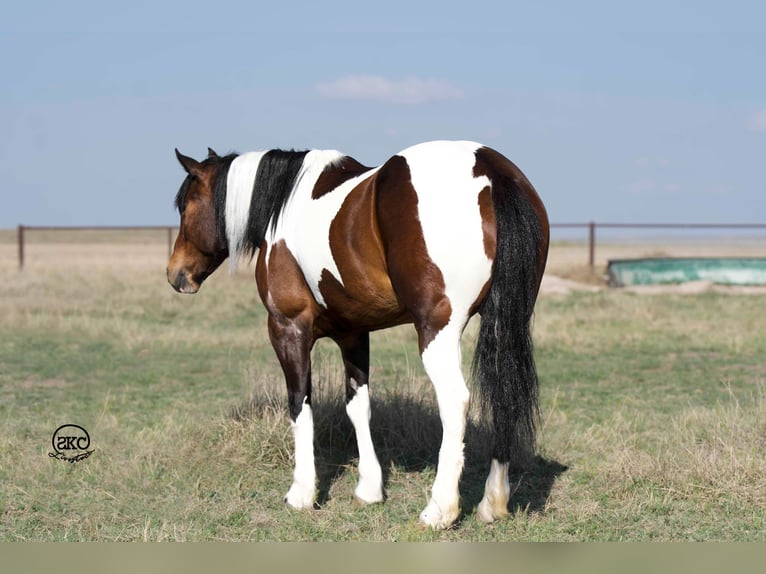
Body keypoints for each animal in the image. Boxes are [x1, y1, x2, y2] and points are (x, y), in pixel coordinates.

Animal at [170, 141, 552, 532]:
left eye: (186, 205)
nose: (177, 275)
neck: (284, 204)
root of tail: (489, 168)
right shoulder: (353, 333)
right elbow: (358, 406)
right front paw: (369, 489)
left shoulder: (287, 328)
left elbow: (299, 404)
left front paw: (301, 493)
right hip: (505, 323)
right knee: (504, 396)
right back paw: (493, 501)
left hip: (437, 332)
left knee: (455, 401)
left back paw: (439, 510)